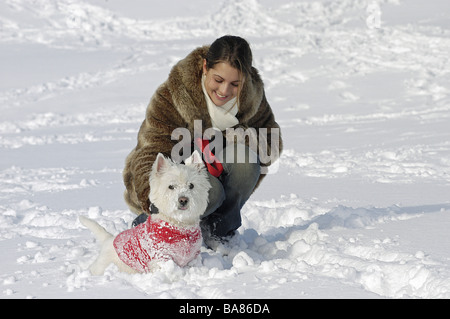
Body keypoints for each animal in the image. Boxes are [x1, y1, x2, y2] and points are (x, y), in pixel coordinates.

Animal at [78, 152, 209, 276]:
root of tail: (109, 239)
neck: (180, 225)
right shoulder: (161, 257)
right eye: (171, 186)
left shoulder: (193, 257)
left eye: (191, 185)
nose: (183, 200)